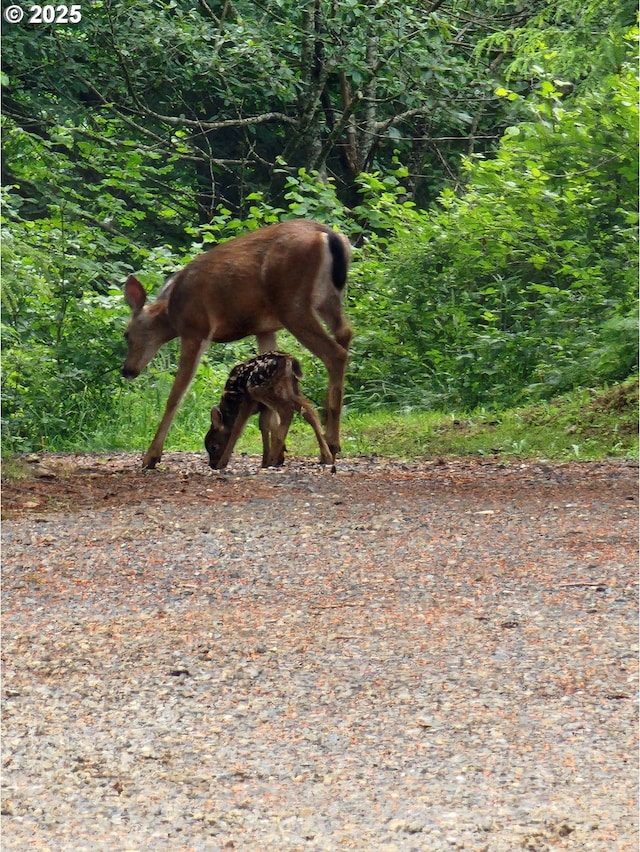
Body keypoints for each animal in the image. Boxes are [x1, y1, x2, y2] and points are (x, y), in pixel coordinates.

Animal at [122, 216, 352, 470]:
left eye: (126, 334)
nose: (127, 370)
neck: (171, 313)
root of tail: (328, 234)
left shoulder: (196, 329)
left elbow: (175, 395)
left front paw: (151, 456)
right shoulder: (264, 329)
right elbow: (267, 408)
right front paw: (277, 454)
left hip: (292, 304)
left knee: (335, 354)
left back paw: (332, 444)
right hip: (328, 299)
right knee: (345, 333)